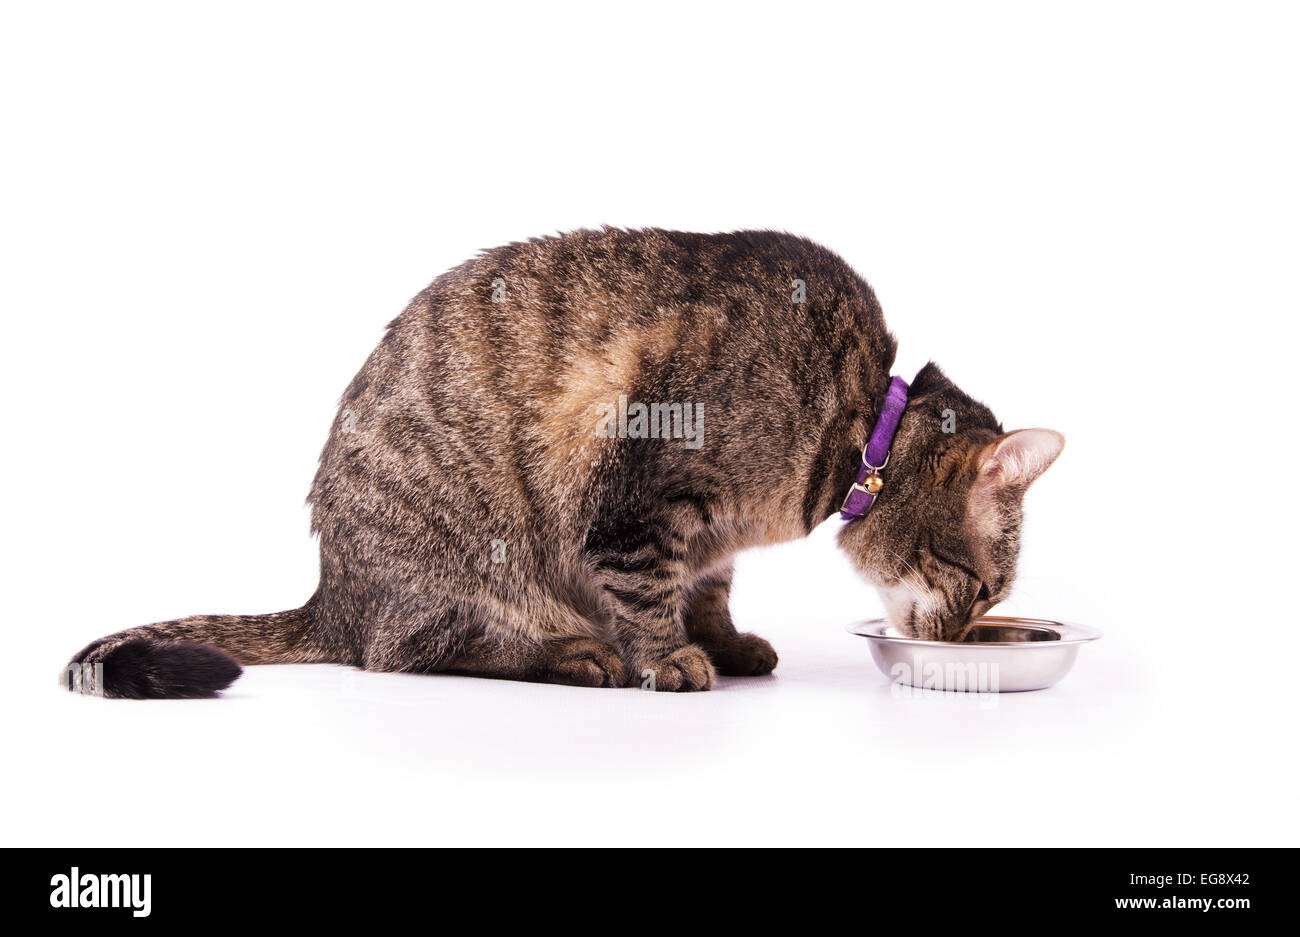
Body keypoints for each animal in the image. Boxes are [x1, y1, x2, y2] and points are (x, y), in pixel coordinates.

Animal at [61, 226, 1060, 696]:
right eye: (982, 591)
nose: (960, 641)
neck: (857, 428)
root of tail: (334, 593)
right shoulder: (637, 494)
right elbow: (651, 589)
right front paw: (670, 657)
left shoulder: (711, 536)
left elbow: (709, 585)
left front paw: (722, 639)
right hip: (464, 557)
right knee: (409, 653)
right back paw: (578, 652)